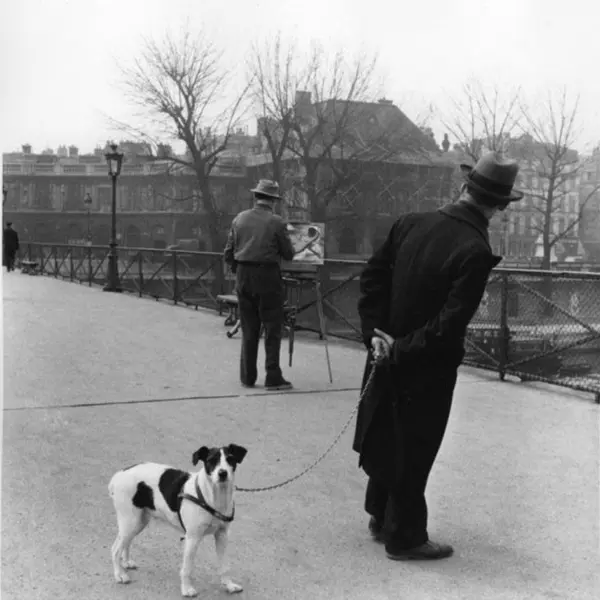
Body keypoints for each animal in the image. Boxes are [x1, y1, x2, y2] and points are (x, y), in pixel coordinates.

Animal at [108, 442, 246, 596]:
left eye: (230, 459)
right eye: (211, 460)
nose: (222, 473)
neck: (213, 498)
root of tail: (118, 475)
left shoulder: (222, 535)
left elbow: (224, 566)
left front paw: (229, 585)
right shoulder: (192, 538)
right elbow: (187, 568)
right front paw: (187, 589)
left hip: (138, 521)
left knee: (125, 542)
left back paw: (125, 562)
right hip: (130, 521)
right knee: (115, 549)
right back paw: (120, 575)